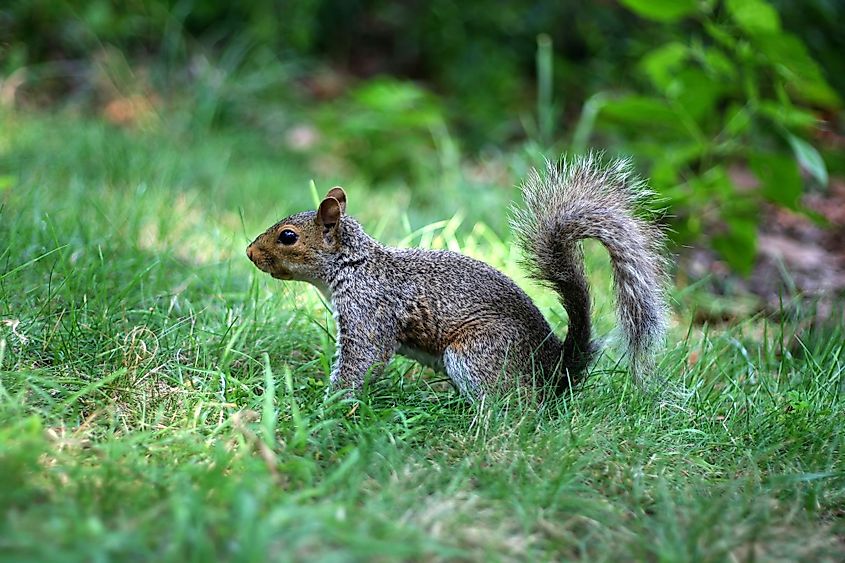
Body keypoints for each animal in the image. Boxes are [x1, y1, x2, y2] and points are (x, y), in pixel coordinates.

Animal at [244, 154, 664, 400]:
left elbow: (363, 359)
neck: (355, 265)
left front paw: (331, 402)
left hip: (476, 353)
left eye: (287, 237)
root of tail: (554, 368)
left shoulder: (369, 311)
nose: (249, 253)